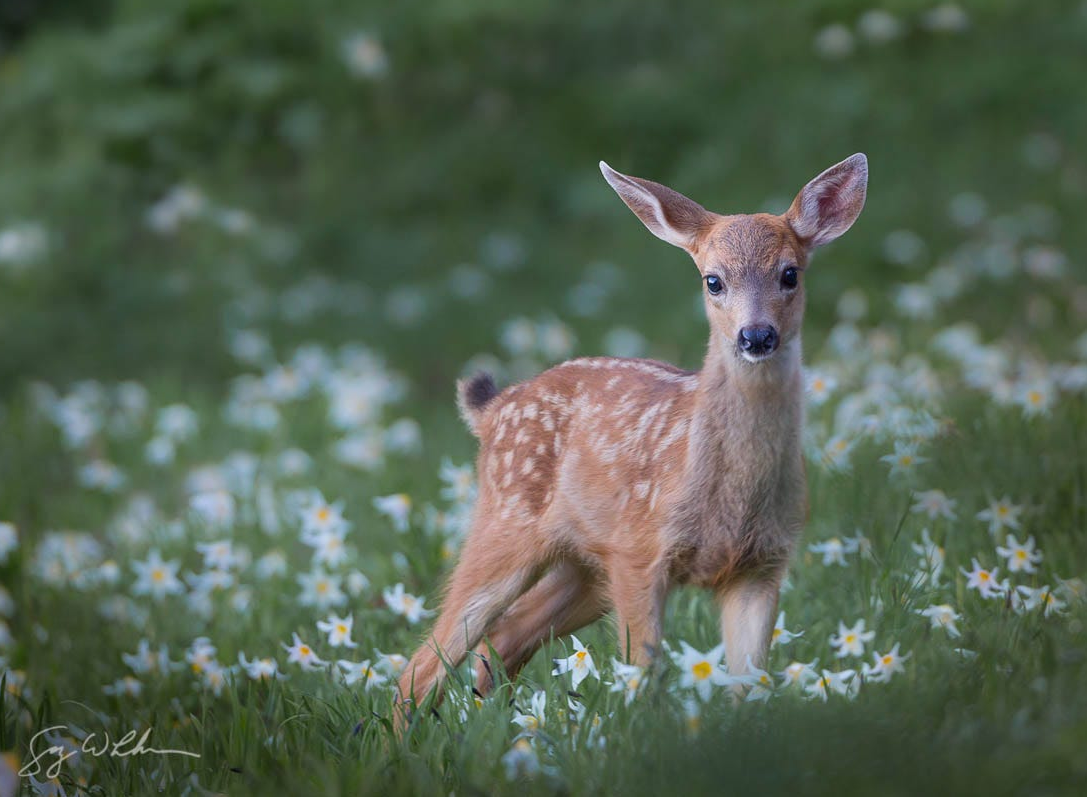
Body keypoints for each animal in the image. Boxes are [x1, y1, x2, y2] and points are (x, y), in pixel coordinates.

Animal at [395, 152, 869, 713]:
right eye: (713, 280)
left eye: (790, 274)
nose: (756, 336)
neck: (729, 497)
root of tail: (493, 408)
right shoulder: (638, 554)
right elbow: (643, 675)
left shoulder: (762, 564)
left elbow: (749, 686)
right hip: (506, 524)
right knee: (422, 663)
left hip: (584, 567)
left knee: (503, 636)